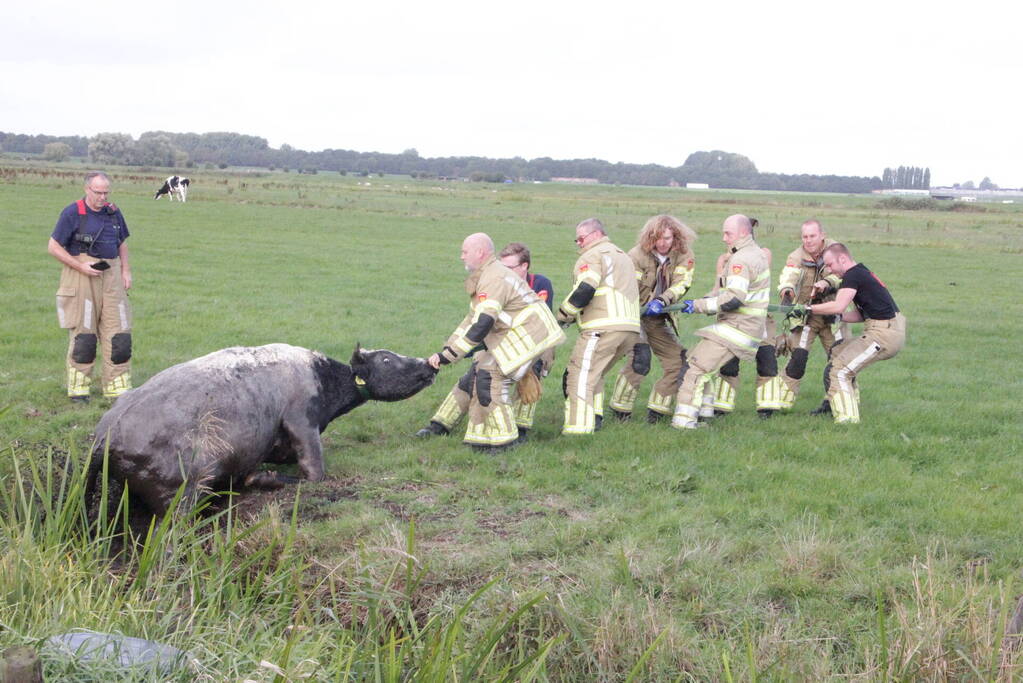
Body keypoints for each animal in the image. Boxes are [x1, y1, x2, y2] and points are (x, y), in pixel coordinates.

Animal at [87, 343, 437, 515]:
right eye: (387, 360)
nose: (429, 364)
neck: (322, 376)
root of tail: (105, 435)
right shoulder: (302, 423)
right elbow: (314, 474)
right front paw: (263, 478)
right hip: (183, 495)